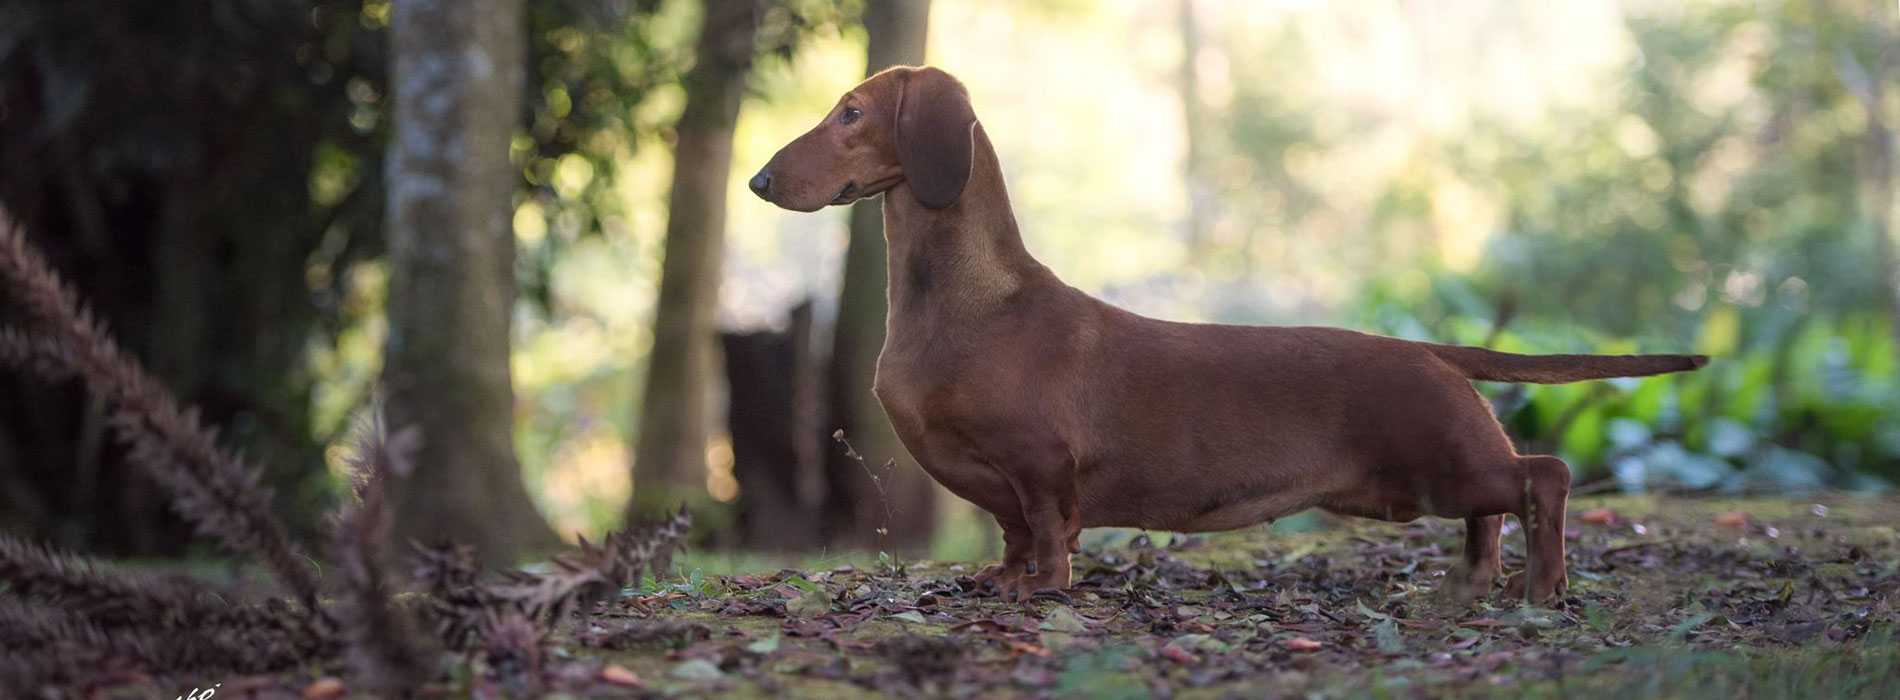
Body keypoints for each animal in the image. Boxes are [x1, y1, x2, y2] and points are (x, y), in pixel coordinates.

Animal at [748, 67, 1717, 608]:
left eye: (850, 112)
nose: (756, 181)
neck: (971, 302)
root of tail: (1430, 349)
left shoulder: (1040, 468)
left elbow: (1050, 535)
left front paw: (1044, 592)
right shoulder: (1003, 491)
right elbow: (1013, 537)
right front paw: (1004, 581)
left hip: (1445, 462)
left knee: (1542, 478)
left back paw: (1542, 589)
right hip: (1422, 484)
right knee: (1494, 512)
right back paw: (1471, 582)